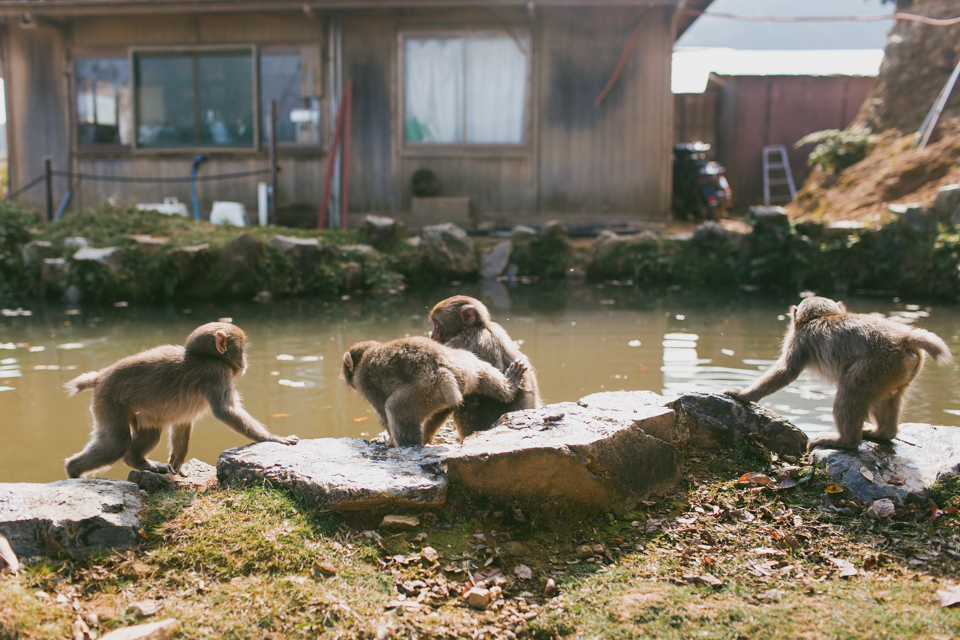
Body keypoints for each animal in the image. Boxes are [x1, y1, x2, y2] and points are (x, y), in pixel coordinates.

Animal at [63, 322, 296, 478]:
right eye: (242, 349)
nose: (245, 361)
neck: (207, 357)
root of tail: (99, 377)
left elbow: (182, 422)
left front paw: (178, 464)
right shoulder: (216, 374)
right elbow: (225, 410)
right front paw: (272, 437)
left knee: (149, 431)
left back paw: (138, 461)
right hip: (108, 401)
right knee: (116, 444)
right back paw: (73, 471)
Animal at [342, 338, 528, 448]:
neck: (366, 353)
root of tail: (440, 368)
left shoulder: (364, 381)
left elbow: (382, 411)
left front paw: (390, 442)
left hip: (423, 390)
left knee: (395, 410)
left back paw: (409, 446)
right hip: (465, 364)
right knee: (481, 370)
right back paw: (509, 389)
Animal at [728, 298, 952, 452]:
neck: (823, 316)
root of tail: (904, 339)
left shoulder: (800, 340)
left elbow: (786, 371)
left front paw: (744, 395)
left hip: (876, 365)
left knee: (850, 390)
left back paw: (845, 442)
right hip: (894, 372)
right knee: (888, 397)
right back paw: (882, 433)